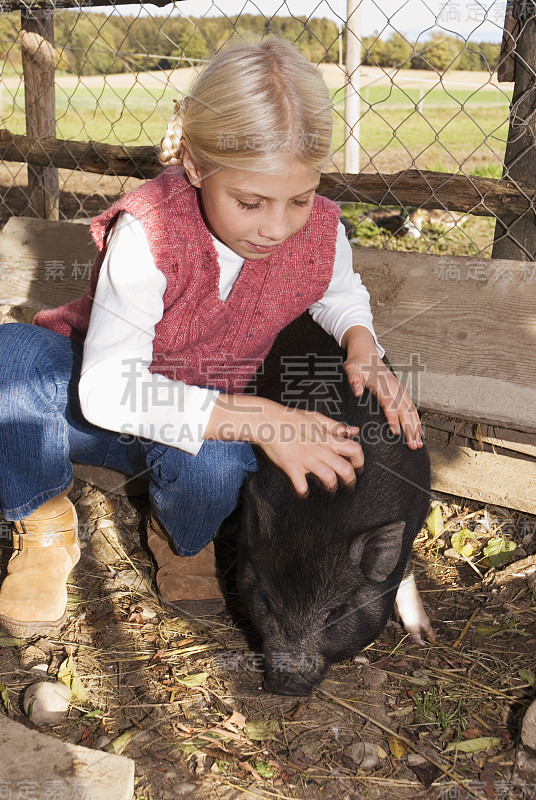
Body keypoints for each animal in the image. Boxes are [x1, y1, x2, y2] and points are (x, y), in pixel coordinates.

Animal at [241, 312, 434, 692]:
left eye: (335, 613)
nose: (286, 682)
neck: (322, 514)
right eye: (267, 604)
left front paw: (426, 638)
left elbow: (404, 567)